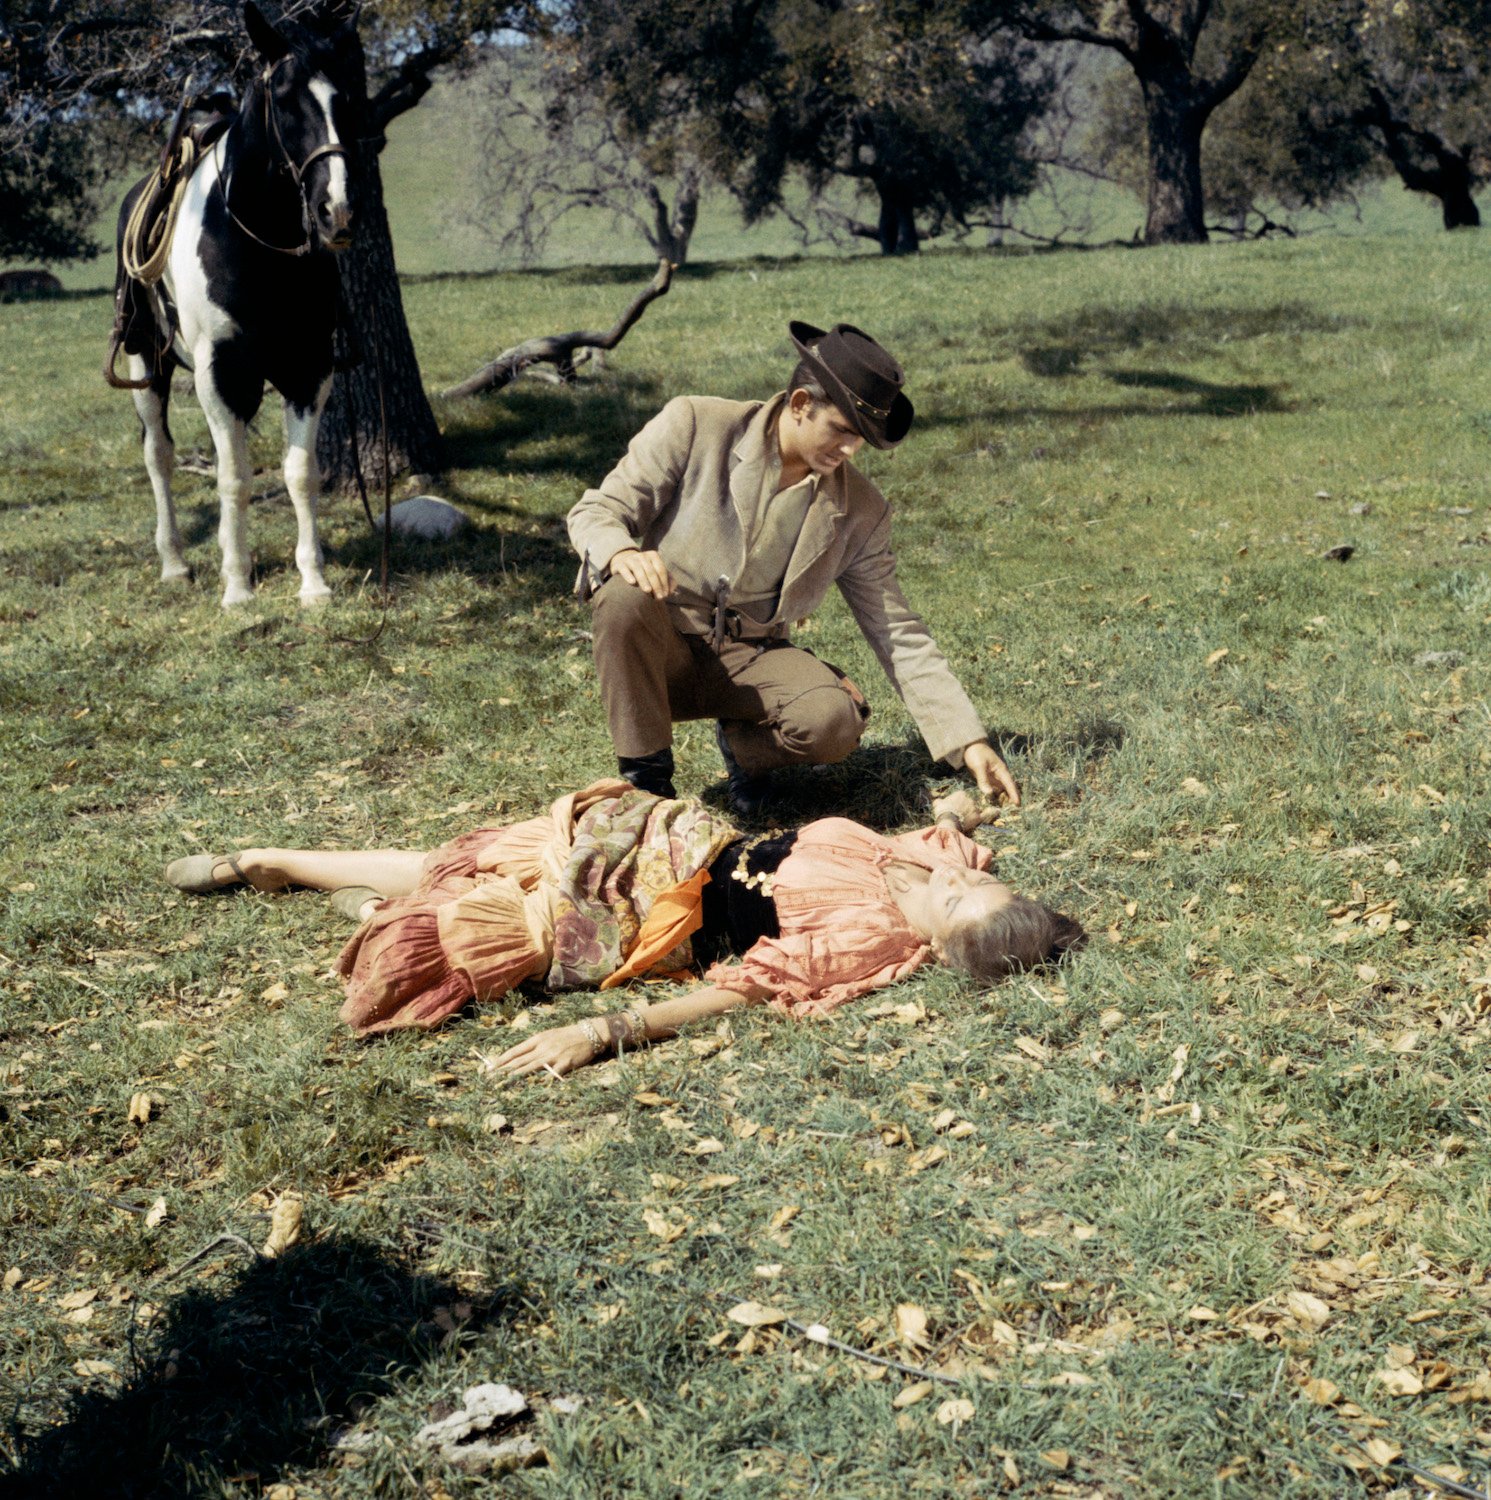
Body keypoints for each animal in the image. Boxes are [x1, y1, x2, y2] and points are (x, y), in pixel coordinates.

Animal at [110, 2, 360, 609]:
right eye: (286, 99)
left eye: (346, 97)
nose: (337, 210)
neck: (257, 243)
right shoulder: (218, 369)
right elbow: (234, 478)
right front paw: (237, 587)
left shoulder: (308, 367)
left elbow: (299, 473)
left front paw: (313, 583)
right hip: (144, 359)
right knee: (159, 455)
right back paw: (176, 563)